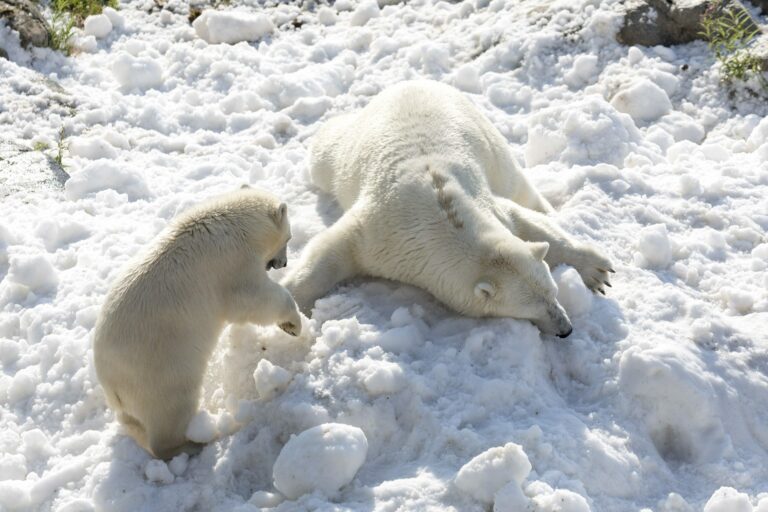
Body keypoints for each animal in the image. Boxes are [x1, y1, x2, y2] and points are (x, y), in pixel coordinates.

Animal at [94, 188, 302, 460]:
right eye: (289, 236)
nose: (284, 263)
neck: (236, 225)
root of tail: (109, 379)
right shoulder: (233, 265)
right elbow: (252, 299)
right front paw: (293, 324)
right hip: (159, 370)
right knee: (171, 409)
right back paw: (195, 442)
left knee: (133, 420)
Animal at [282, 80, 612, 338]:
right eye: (530, 309)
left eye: (553, 292)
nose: (566, 329)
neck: (441, 214)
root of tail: (413, 81)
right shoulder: (378, 232)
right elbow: (331, 249)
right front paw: (289, 307)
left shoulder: (487, 205)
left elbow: (524, 221)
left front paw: (596, 270)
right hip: (347, 149)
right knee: (325, 152)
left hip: (488, 140)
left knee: (517, 184)